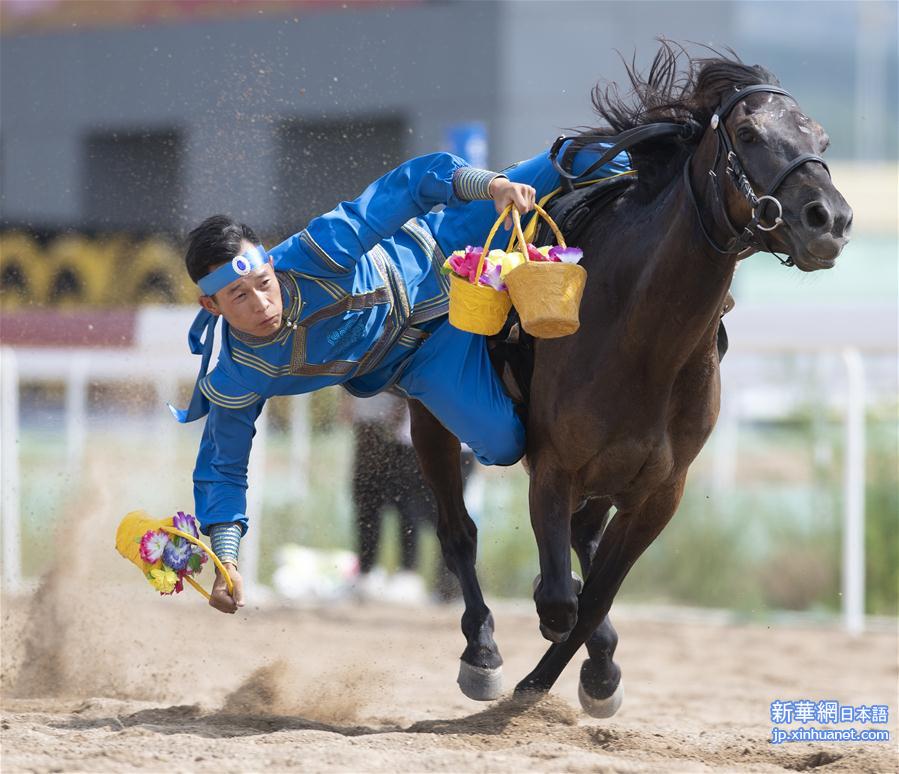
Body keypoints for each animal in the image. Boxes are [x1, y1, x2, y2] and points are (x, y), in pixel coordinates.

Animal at [406, 44, 852, 716]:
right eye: (749, 134)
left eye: (821, 138)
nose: (831, 219)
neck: (646, 343)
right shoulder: (555, 467)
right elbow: (561, 599)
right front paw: (531, 672)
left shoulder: (659, 493)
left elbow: (594, 598)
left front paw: (587, 678)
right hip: (432, 417)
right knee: (460, 533)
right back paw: (480, 651)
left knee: (583, 544)